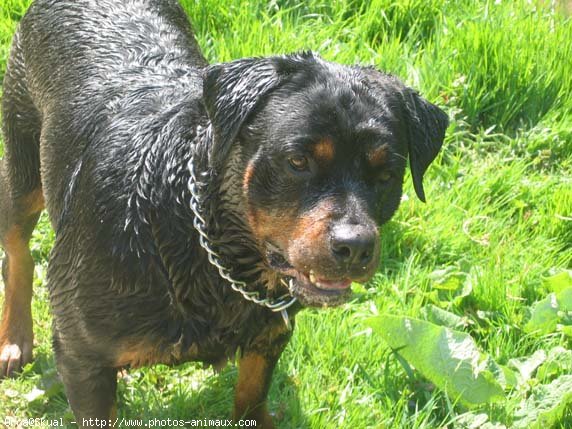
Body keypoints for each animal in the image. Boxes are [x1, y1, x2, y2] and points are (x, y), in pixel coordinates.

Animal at [0, 0, 446, 422]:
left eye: (387, 174)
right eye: (297, 161)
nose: (354, 246)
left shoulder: (270, 331)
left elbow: (251, 393)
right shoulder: (83, 360)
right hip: (22, 162)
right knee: (18, 250)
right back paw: (15, 341)